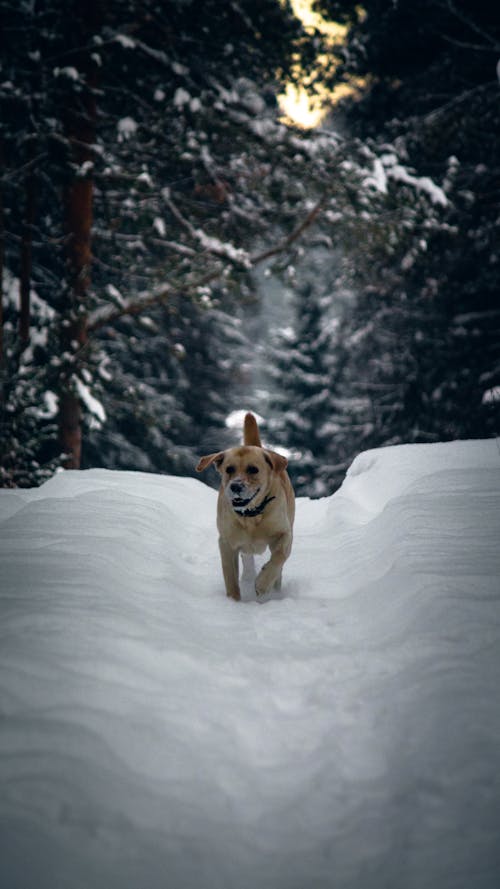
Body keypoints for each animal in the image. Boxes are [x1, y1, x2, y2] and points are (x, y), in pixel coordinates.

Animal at [195, 412, 294, 600]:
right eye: (229, 469)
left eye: (253, 469)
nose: (235, 486)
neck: (251, 516)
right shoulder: (226, 543)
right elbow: (230, 577)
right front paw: (233, 601)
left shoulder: (285, 533)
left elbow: (279, 557)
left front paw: (263, 584)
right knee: (247, 560)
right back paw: (248, 577)